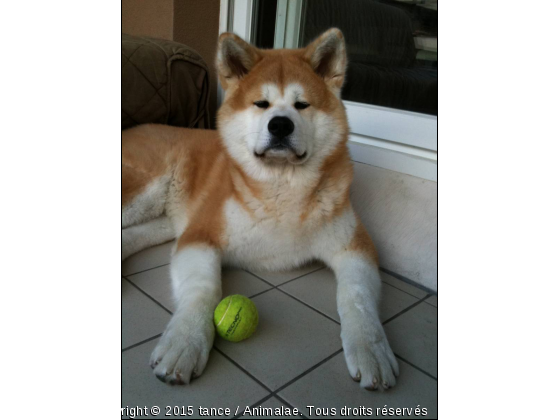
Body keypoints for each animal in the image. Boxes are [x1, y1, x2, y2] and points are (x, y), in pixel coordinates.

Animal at [123, 28, 398, 390]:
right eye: (261, 103)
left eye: (301, 104)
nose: (280, 125)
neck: (280, 189)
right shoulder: (199, 235)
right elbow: (204, 289)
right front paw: (185, 341)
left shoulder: (355, 247)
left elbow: (357, 298)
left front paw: (371, 349)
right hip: (145, 192)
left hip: (163, 222)